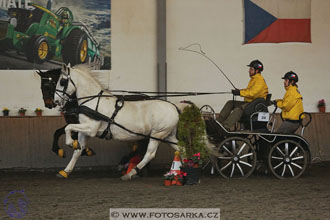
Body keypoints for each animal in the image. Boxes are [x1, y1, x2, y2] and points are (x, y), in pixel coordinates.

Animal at [52, 63, 215, 180]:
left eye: (62, 81)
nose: (56, 102)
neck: (92, 101)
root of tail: (174, 106)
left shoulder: (91, 128)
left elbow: (68, 127)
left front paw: (69, 143)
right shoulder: (85, 131)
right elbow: (77, 151)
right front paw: (65, 170)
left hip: (157, 134)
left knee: (149, 154)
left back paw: (130, 173)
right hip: (167, 135)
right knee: (180, 148)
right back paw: (184, 170)